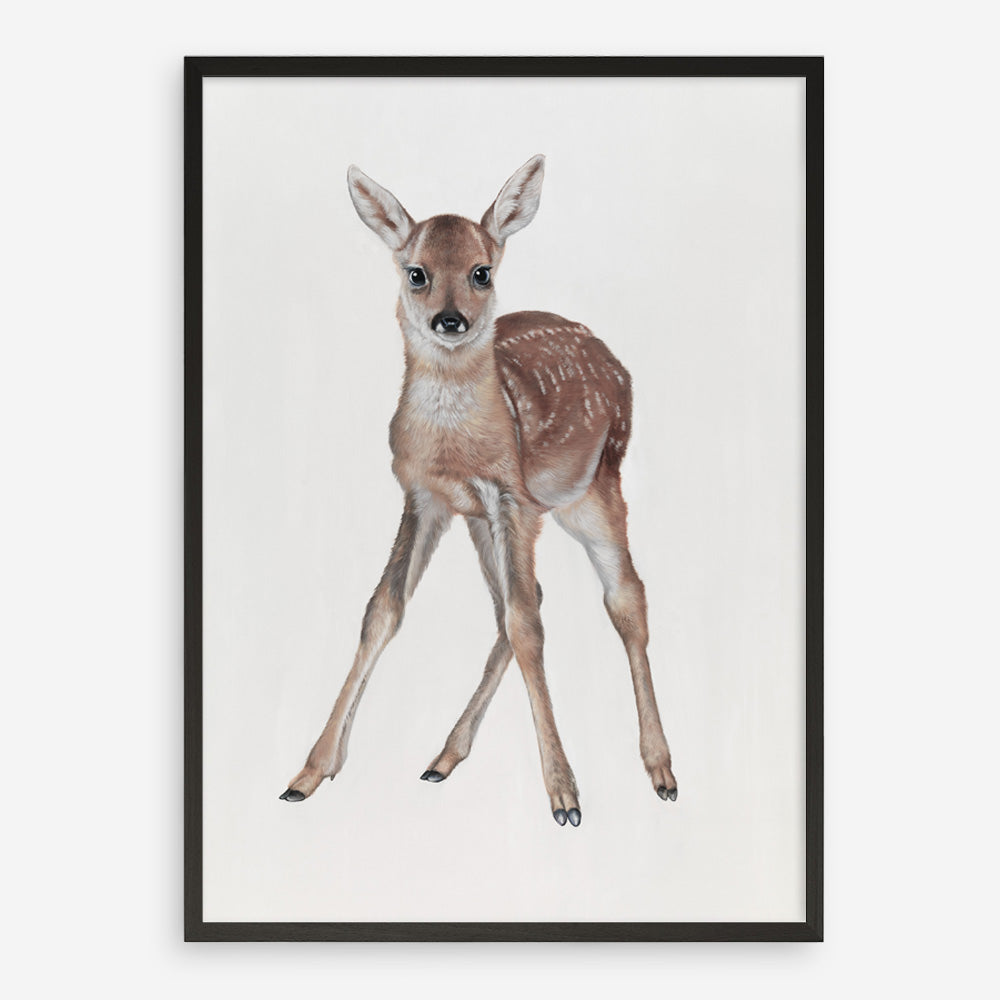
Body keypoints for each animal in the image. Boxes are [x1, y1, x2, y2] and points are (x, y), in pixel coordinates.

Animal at [279, 155, 677, 826]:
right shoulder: (426, 497)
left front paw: (565, 796)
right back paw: (443, 758)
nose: (451, 320)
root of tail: (617, 365)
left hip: (594, 490)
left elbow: (527, 626)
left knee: (624, 598)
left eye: (481, 272)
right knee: (522, 600)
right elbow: (383, 610)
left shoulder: (510, 496)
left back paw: (661, 770)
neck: (456, 444)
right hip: (486, 521)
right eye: (416, 273)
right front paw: (309, 772)